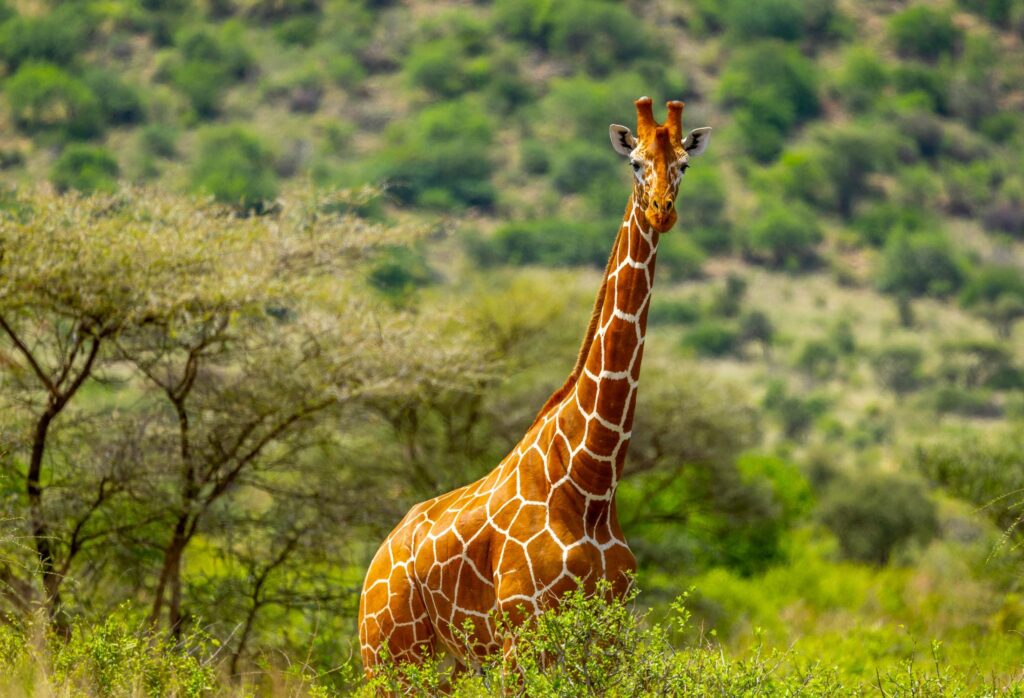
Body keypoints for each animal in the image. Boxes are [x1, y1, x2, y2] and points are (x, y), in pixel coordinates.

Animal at [358, 96, 712, 673]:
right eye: (635, 162)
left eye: (683, 164)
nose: (662, 211)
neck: (590, 481)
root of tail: (375, 560)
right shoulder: (522, 635)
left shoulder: (606, 636)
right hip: (390, 655)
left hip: (449, 664)